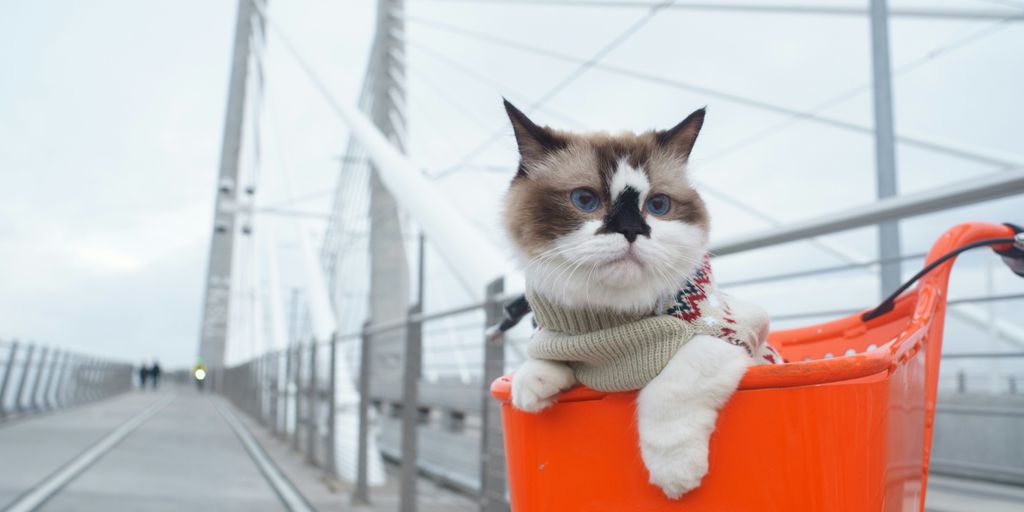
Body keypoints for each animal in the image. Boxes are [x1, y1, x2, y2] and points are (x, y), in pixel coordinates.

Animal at [499, 100, 778, 499]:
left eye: (658, 205)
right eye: (585, 200)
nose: (632, 230)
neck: (613, 323)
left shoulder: (735, 336)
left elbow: (671, 386)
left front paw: (675, 474)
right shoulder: (566, 338)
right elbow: (545, 355)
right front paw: (532, 386)